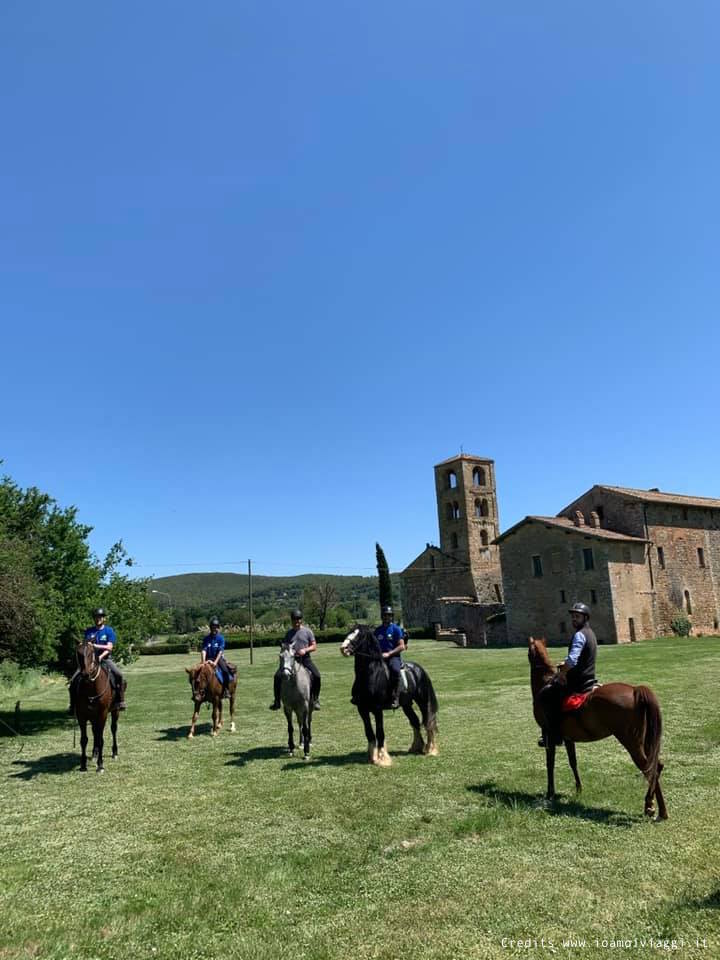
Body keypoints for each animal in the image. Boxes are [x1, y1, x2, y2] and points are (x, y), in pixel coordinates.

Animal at [74, 636, 120, 772]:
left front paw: (100, 765)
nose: (85, 674)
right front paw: (83, 765)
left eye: (90, 653)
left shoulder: (102, 714)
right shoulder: (82, 715)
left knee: (113, 728)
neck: (91, 688)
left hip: (115, 711)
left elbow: (100, 739)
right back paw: (94, 753)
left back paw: (114, 752)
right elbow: (84, 739)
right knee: (95, 731)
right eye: (78, 653)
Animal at [338, 628, 438, 768]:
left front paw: (383, 758)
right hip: (406, 705)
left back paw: (430, 749)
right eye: (350, 631)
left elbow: (380, 733)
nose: (344, 648)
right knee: (415, 721)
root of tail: (418, 669)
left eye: (360, 636)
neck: (371, 675)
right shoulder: (362, 710)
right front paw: (372, 757)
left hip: (423, 702)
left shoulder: (377, 710)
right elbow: (369, 733)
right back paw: (416, 747)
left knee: (428, 722)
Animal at [524, 636, 668, 816]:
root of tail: (635, 690)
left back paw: (650, 805)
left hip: (632, 742)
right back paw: (660, 810)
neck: (544, 684)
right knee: (656, 766)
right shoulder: (568, 738)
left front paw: (550, 793)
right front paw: (579, 789)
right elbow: (573, 761)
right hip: (645, 741)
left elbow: (550, 764)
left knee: (649, 768)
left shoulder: (549, 735)